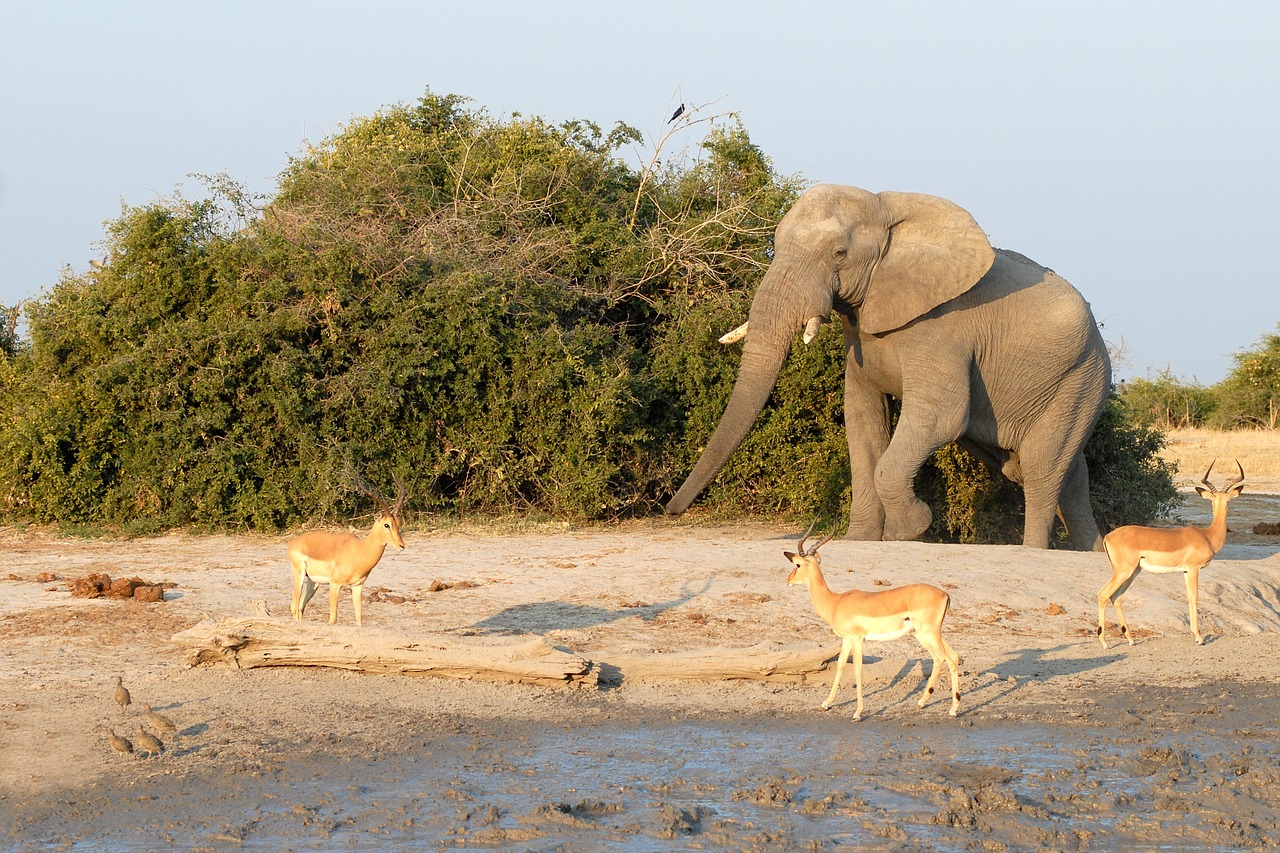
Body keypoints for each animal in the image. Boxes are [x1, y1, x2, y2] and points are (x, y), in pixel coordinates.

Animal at [670, 183, 1111, 548]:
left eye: (839, 254)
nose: (671, 512)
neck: (886, 211)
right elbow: (862, 417)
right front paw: (861, 540)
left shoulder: (941, 328)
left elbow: (940, 415)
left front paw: (909, 532)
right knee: (1064, 473)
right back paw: (1092, 552)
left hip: (1083, 378)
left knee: (1040, 468)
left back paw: (1034, 550)